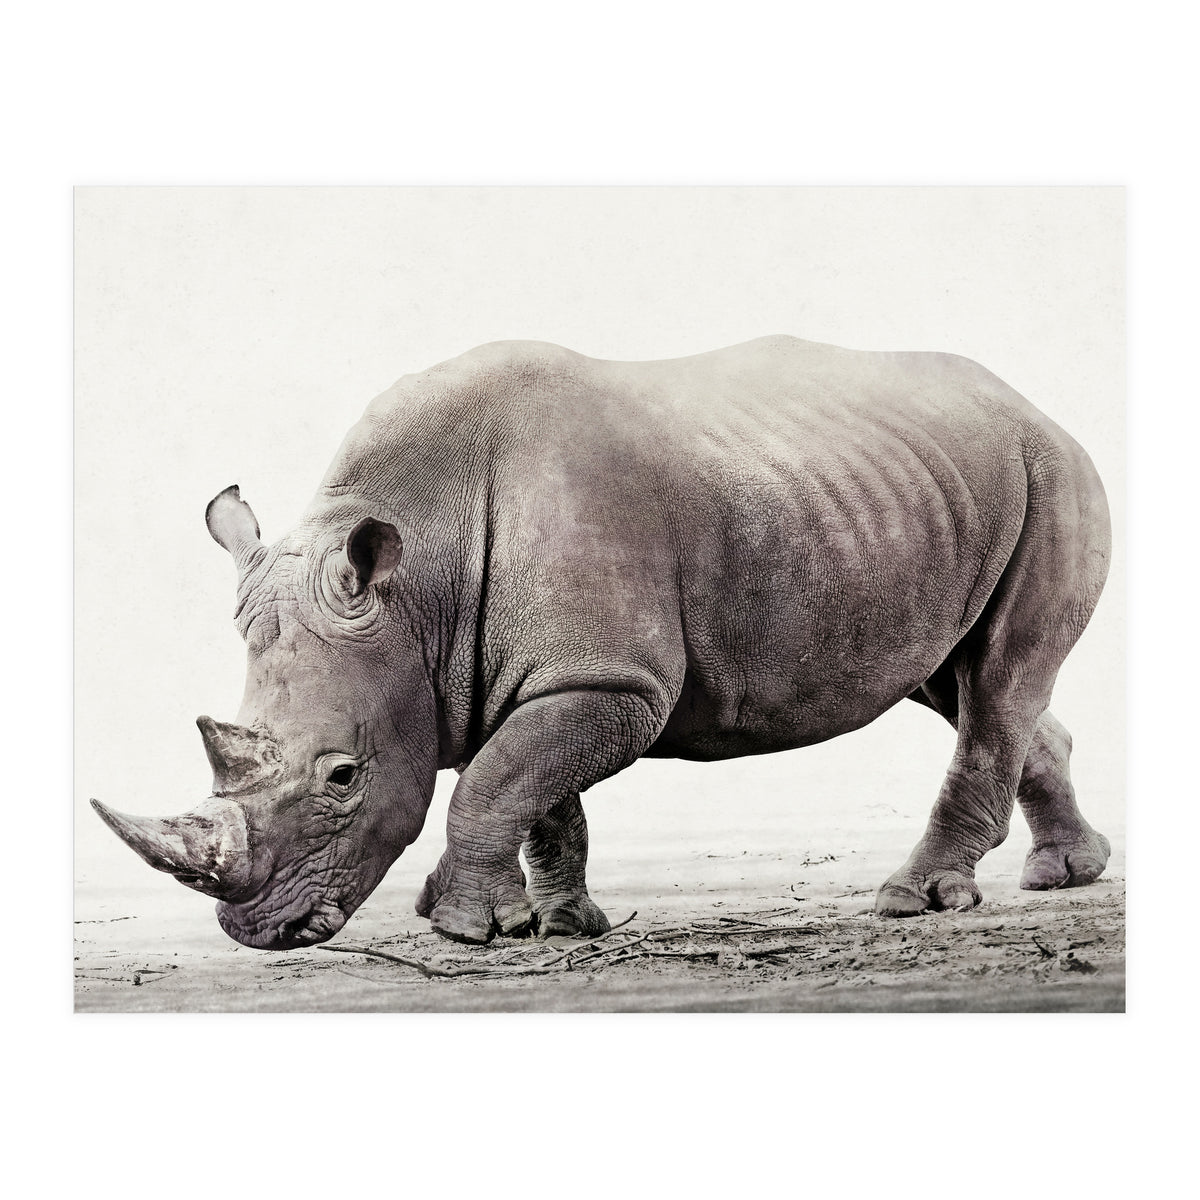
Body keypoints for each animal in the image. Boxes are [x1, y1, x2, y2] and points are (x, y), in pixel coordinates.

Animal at [92, 336, 1112, 949]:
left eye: (342, 776)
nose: (258, 931)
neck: (419, 583)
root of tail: (1034, 405)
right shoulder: (543, 673)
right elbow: (538, 791)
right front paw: (560, 923)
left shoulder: (612, 679)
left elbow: (499, 780)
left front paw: (462, 930)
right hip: (922, 493)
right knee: (961, 681)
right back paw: (1066, 875)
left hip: (1053, 473)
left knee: (998, 678)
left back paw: (916, 900)